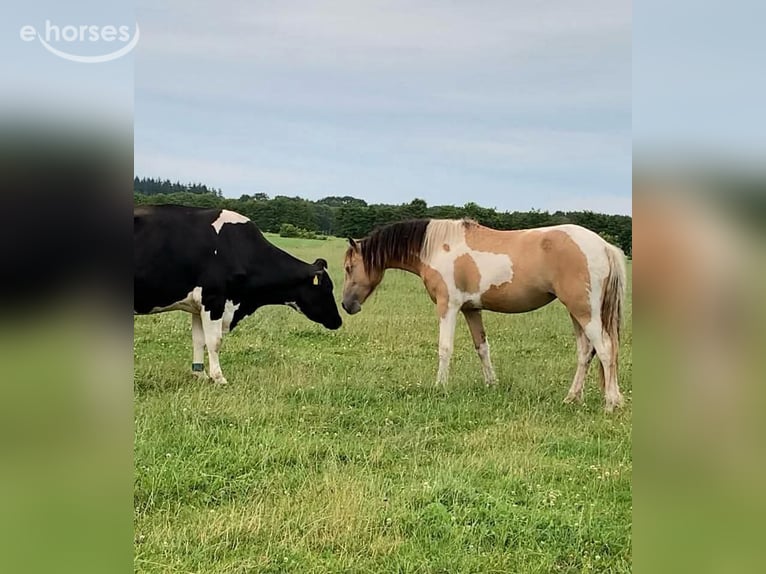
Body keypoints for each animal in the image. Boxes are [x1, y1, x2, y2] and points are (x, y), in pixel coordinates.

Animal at [341, 218, 627, 412]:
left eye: (348, 267)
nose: (346, 305)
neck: (437, 247)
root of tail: (604, 247)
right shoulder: (471, 309)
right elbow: (482, 347)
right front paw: (492, 384)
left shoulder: (448, 306)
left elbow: (445, 348)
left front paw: (440, 387)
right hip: (576, 312)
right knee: (585, 352)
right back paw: (572, 398)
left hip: (584, 311)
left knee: (605, 349)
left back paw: (611, 402)